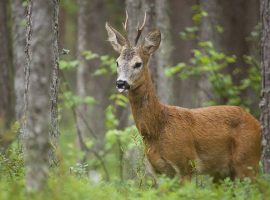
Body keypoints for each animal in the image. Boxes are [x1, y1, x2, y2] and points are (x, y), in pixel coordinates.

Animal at [105, 13, 262, 184]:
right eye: (117, 62)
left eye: (138, 63)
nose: (121, 83)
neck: (158, 128)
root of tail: (257, 123)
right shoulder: (159, 171)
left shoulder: (186, 164)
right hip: (222, 172)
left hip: (247, 161)